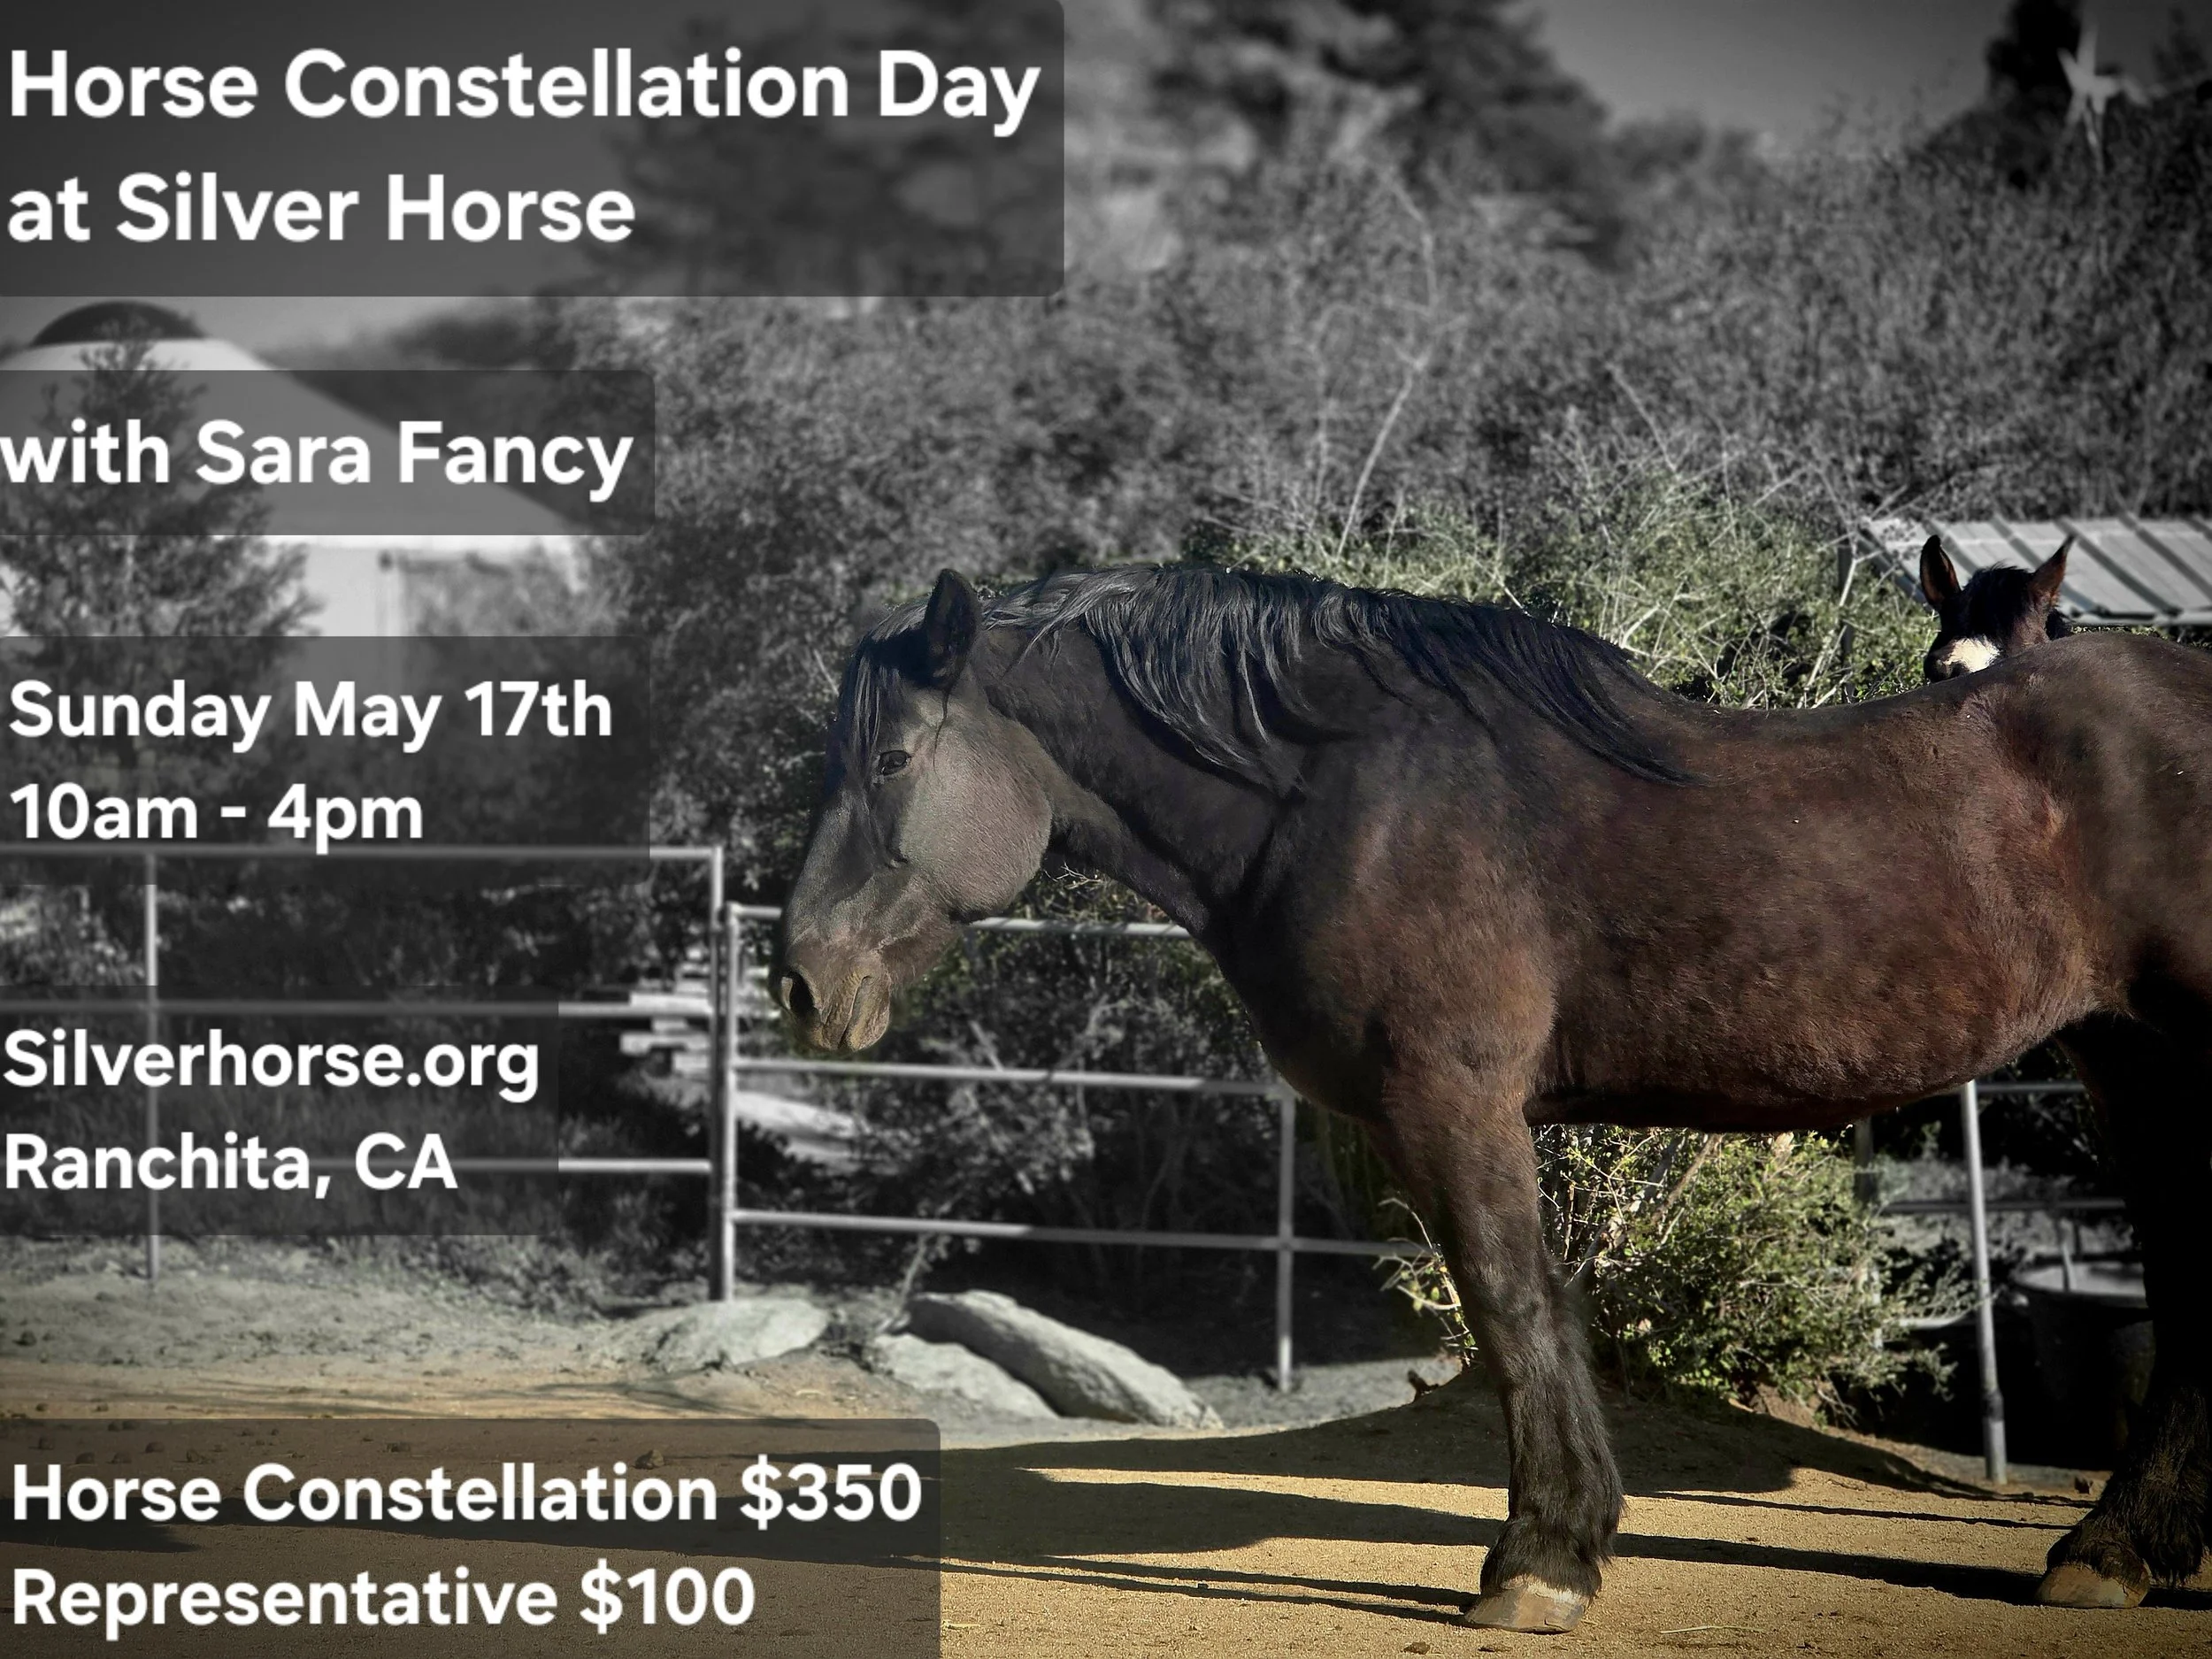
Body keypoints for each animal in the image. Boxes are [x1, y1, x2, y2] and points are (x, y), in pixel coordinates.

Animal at [775, 563, 2212, 1631]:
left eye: (891, 758)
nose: (801, 980)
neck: (1346, 794)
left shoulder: (1453, 1107)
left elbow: (1516, 1311)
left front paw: (1541, 1561)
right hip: (2129, 1060)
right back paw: (2122, 1549)